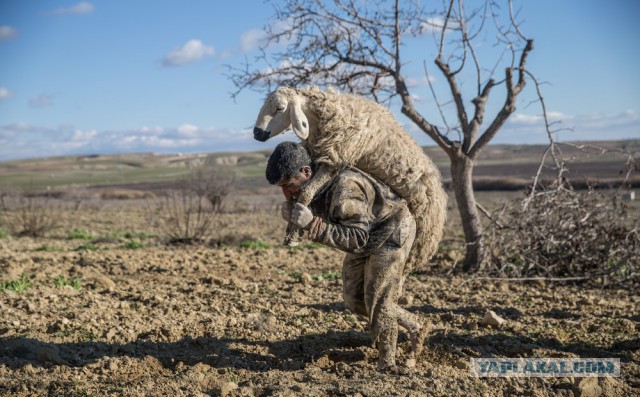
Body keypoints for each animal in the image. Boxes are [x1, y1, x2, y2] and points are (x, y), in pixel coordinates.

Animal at [252, 86, 448, 270]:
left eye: (280, 108)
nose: (257, 133)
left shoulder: (336, 158)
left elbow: (306, 192)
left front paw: (294, 233)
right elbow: (296, 196)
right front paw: (291, 227)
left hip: (421, 240)